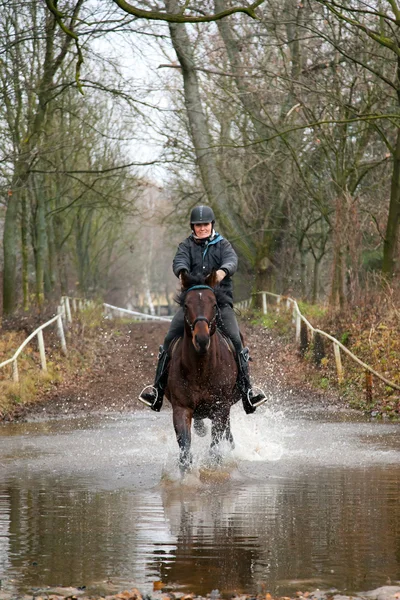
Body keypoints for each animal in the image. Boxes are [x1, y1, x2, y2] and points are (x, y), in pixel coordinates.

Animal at [165, 270, 241, 472]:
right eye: (186, 305)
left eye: (214, 304)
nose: (201, 339)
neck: (201, 368)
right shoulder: (181, 408)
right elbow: (185, 449)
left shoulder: (221, 408)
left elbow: (215, 448)